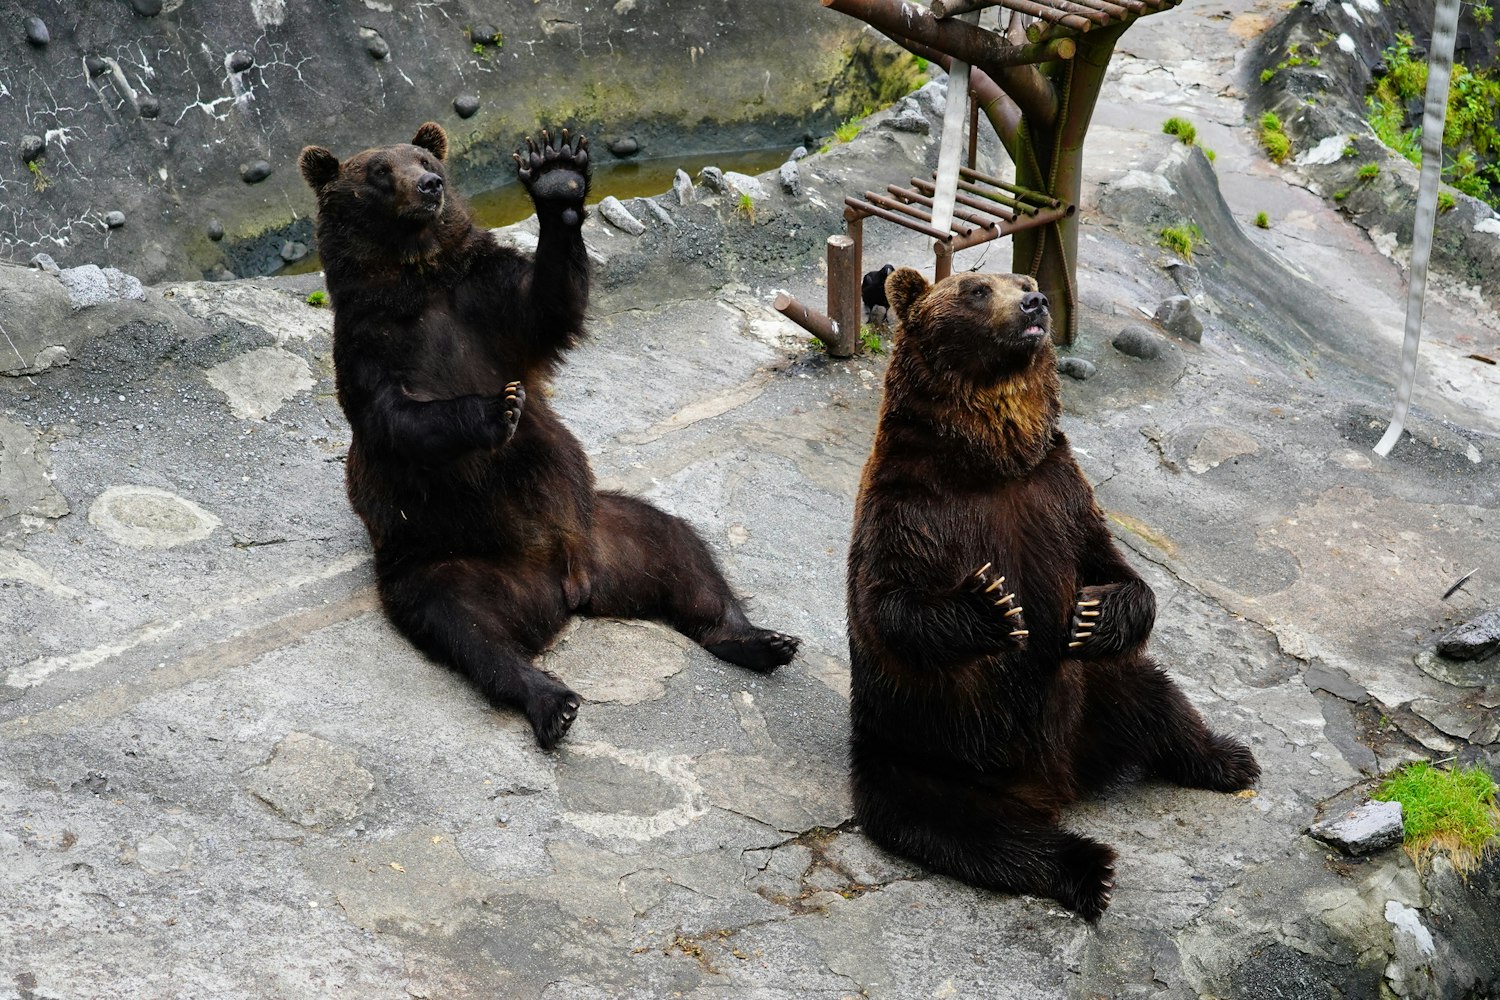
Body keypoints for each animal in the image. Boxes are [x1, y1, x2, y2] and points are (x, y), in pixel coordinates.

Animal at [297, 122, 799, 748]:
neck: (417, 277)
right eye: (380, 172)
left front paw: (556, 176)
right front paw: (499, 408)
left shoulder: (483, 297)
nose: (430, 187)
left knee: (682, 549)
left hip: (604, 525)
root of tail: (570, 586)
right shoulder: (369, 341)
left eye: (425, 160)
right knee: (466, 628)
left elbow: (548, 305)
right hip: (445, 555)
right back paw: (551, 701)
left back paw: (760, 638)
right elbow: (394, 418)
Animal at [844, 267, 1259, 921]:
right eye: (976, 290)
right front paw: (992, 604)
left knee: (1158, 699)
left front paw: (1093, 613)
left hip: (1092, 691)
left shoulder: (1058, 494)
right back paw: (1089, 868)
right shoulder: (910, 508)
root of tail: (1056, 782)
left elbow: (1116, 570)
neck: (993, 462)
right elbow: (888, 604)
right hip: (919, 751)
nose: (1036, 303)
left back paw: (1229, 759)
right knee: (968, 830)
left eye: (1024, 279)